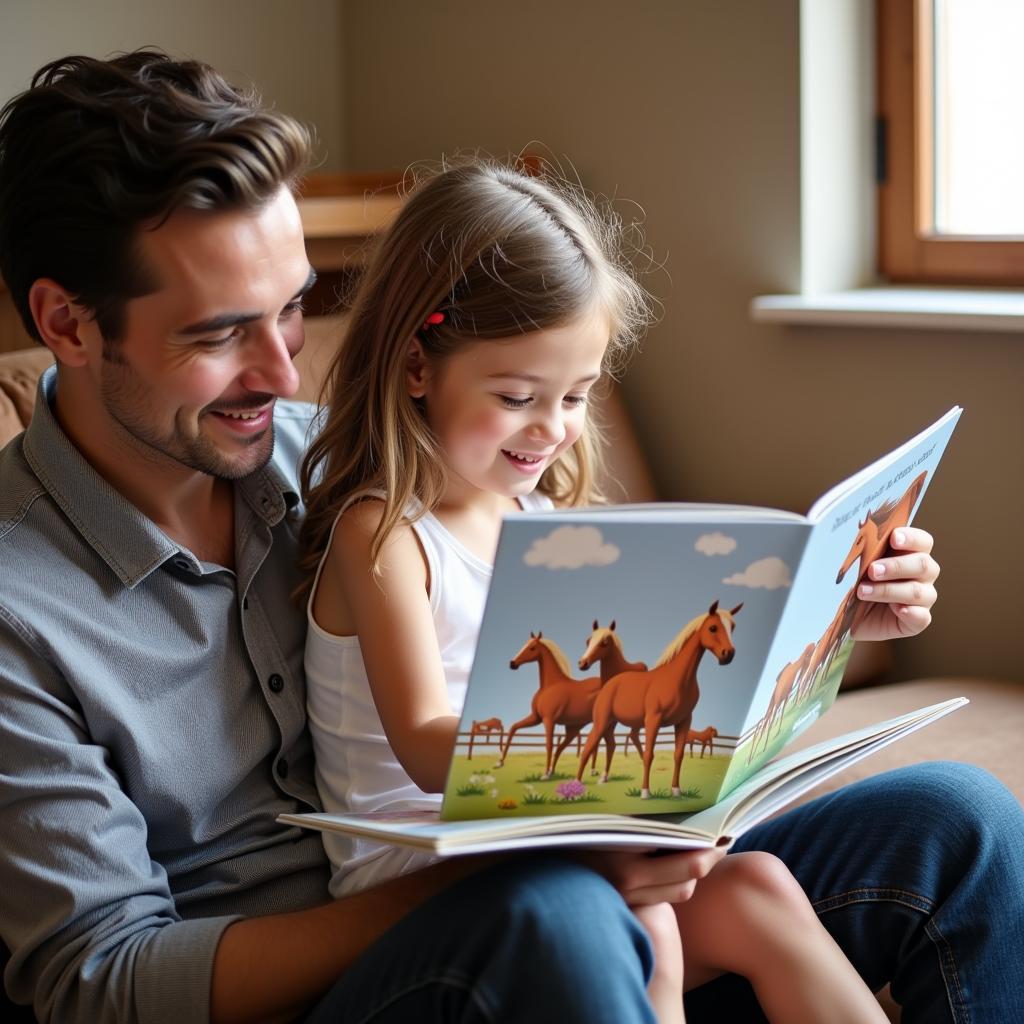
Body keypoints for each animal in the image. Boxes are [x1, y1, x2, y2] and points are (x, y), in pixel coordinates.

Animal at [493, 630, 602, 774]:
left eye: (532, 647)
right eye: (524, 645)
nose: (512, 664)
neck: (550, 686)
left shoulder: (548, 720)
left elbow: (548, 744)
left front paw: (544, 774)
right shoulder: (536, 718)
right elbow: (513, 728)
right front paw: (499, 762)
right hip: (573, 728)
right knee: (570, 746)